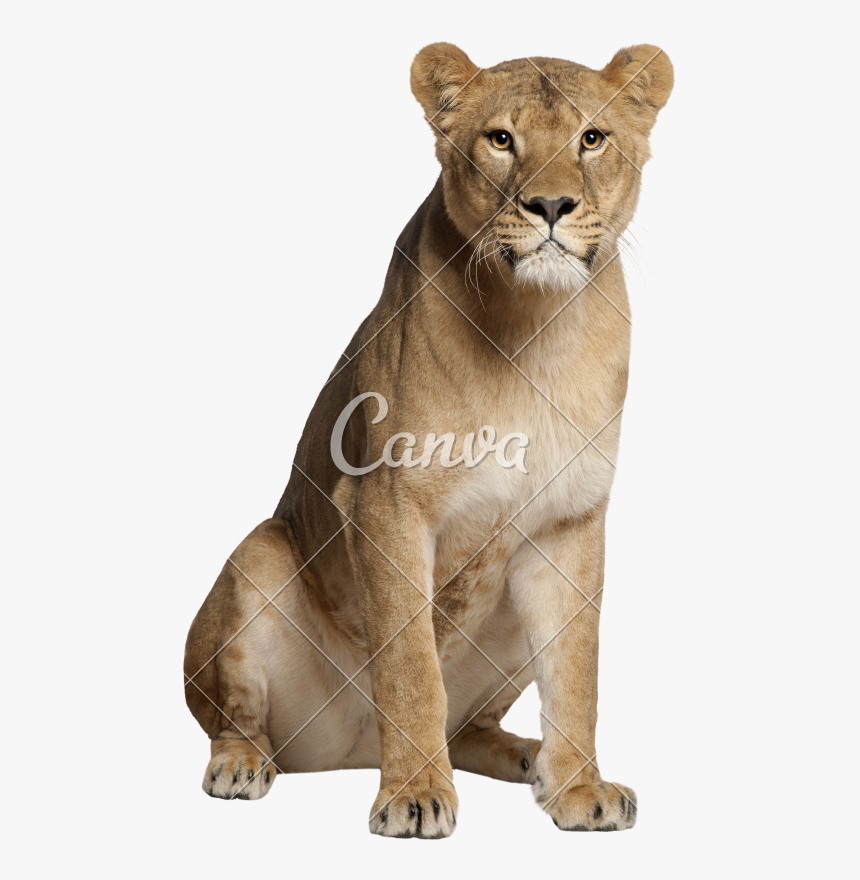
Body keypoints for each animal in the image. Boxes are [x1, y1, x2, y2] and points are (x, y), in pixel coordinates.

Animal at [184, 42, 673, 837]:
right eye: (501, 140)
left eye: (592, 139)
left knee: (470, 725)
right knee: (233, 715)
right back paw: (241, 764)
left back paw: (529, 759)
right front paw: (414, 793)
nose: (550, 206)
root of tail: (354, 750)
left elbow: (577, 670)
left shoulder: (570, 523)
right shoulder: (387, 503)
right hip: (259, 555)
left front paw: (579, 787)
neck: (532, 330)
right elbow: (412, 665)